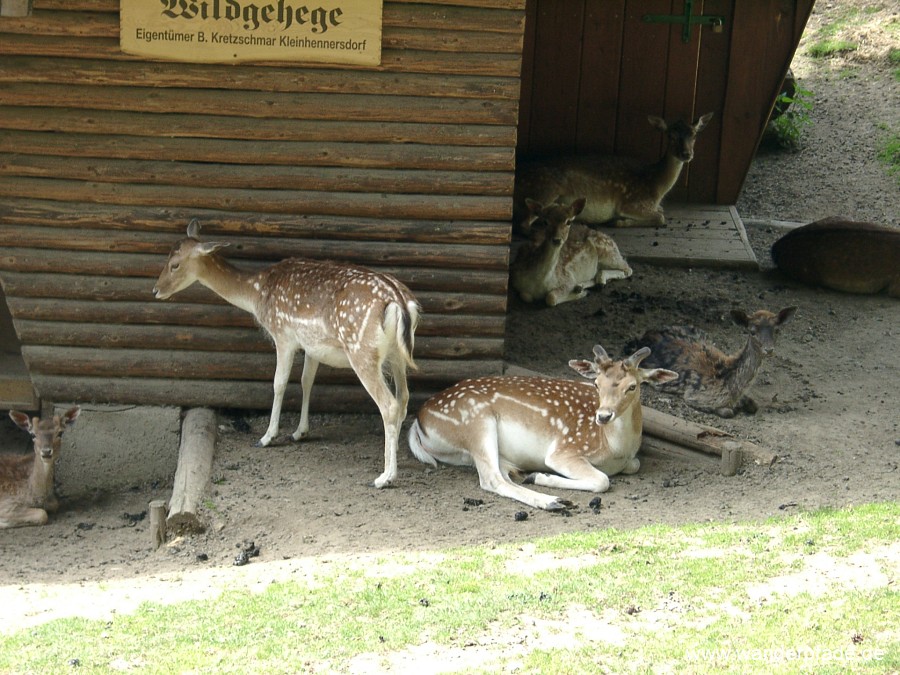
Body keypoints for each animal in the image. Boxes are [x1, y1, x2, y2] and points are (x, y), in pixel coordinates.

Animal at [155, 222, 422, 492]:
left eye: (175, 264)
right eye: (166, 257)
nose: (156, 290)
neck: (256, 293)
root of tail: (399, 302)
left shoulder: (282, 335)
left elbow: (279, 383)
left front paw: (266, 437)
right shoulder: (312, 346)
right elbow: (306, 381)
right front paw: (299, 432)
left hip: (361, 350)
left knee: (389, 404)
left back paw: (385, 477)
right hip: (396, 355)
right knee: (404, 398)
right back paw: (396, 458)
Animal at [408, 346, 676, 510]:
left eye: (632, 386)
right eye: (597, 383)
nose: (603, 415)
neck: (616, 449)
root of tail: (419, 418)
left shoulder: (630, 460)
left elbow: (635, 465)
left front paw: (537, 476)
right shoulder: (564, 451)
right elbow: (602, 480)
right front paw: (544, 477)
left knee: (502, 473)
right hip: (476, 421)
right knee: (491, 479)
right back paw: (553, 501)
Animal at [512, 111, 716, 227]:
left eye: (694, 135)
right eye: (671, 136)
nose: (686, 153)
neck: (657, 186)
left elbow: (662, 212)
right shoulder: (633, 202)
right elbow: (660, 217)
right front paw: (619, 221)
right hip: (545, 189)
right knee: (523, 223)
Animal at [624, 308, 796, 420]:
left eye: (777, 330)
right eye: (752, 331)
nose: (769, 349)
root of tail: (648, 333)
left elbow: (754, 405)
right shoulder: (694, 396)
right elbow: (728, 412)